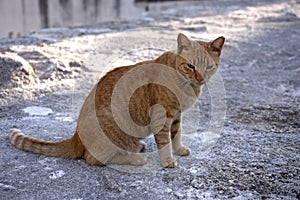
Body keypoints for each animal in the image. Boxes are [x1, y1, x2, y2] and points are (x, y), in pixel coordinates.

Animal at [8, 33, 225, 168]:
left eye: (209, 67)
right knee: (93, 159)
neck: (186, 85)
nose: (200, 78)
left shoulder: (177, 116)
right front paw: (168, 161)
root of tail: (76, 137)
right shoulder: (162, 117)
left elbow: (176, 135)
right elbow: (165, 142)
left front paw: (179, 150)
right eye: (190, 66)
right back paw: (135, 158)